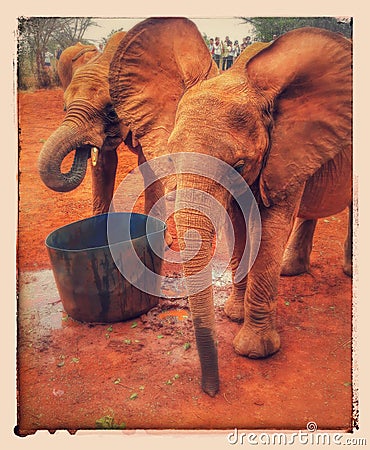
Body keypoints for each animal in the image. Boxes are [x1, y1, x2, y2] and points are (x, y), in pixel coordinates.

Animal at [108, 19, 352, 396]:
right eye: (172, 156)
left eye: (238, 163)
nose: (211, 390)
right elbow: (236, 226)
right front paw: (233, 316)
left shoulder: (282, 152)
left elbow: (270, 229)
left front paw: (255, 351)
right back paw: (291, 270)